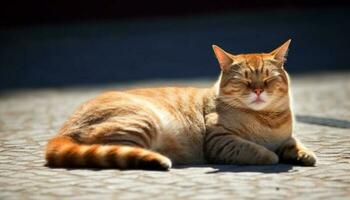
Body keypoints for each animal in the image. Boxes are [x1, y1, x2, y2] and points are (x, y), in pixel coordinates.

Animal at [45, 39, 318, 170]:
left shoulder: (286, 138)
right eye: (244, 80)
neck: (267, 120)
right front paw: (270, 155)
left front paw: (304, 154)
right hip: (141, 122)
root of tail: (62, 132)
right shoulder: (220, 141)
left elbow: (294, 144)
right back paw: (158, 158)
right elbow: (257, 150)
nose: (258, 90)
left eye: (268, 79)